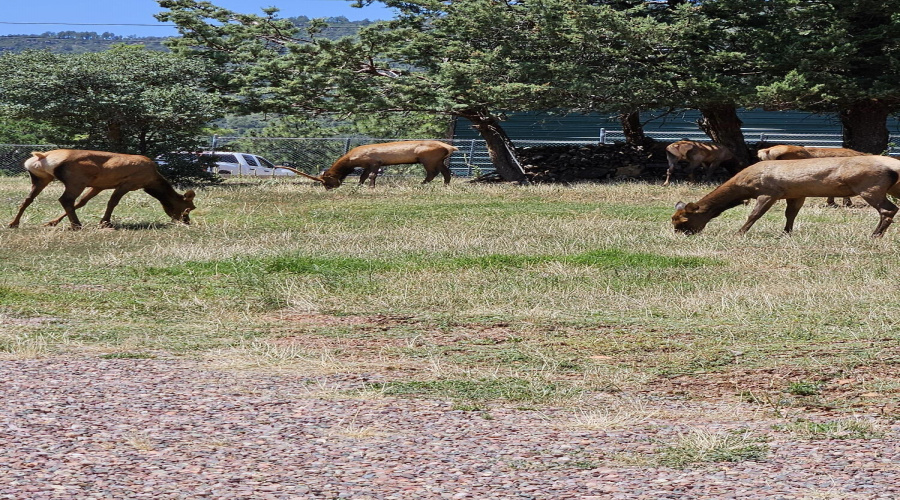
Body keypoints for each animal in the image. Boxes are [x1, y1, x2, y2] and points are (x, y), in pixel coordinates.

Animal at [9, 149, 196, 229]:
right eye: (188, 208)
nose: (187, 222)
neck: (151, 182)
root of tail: (42, 156)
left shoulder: (98, 186)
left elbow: (82, 203)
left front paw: (52, 222)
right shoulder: (127, 183)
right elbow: (112, 203)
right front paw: (105, 222)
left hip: (41, 178)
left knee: (28, 199)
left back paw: (13, 223)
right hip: (76, 180)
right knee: (65, 199)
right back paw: (77, 225)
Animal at [284, 141, 464, 189]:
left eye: (327, 180)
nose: (329, 188)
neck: (352, 159)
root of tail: (449, 147)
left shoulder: (375, 162)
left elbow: (371, 176)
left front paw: (371, 187)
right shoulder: (368, 165)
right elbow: (363, 176)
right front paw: (359, 185)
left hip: (428, 159)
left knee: (432, 173)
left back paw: (421, 184)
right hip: (438, 160)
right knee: (446, 172)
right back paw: (445, 185)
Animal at [672, 156, 900, 238]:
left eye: (683, 220)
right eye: (673, 220)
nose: (680, 234)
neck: (744, 186)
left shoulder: (769, 192)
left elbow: (754, 215)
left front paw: (739, 232)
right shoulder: (796, 194)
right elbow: (790, 215)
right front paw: (786, 233)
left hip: (869, 187)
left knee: (889, 209)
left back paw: (874, 235)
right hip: (891, 188)